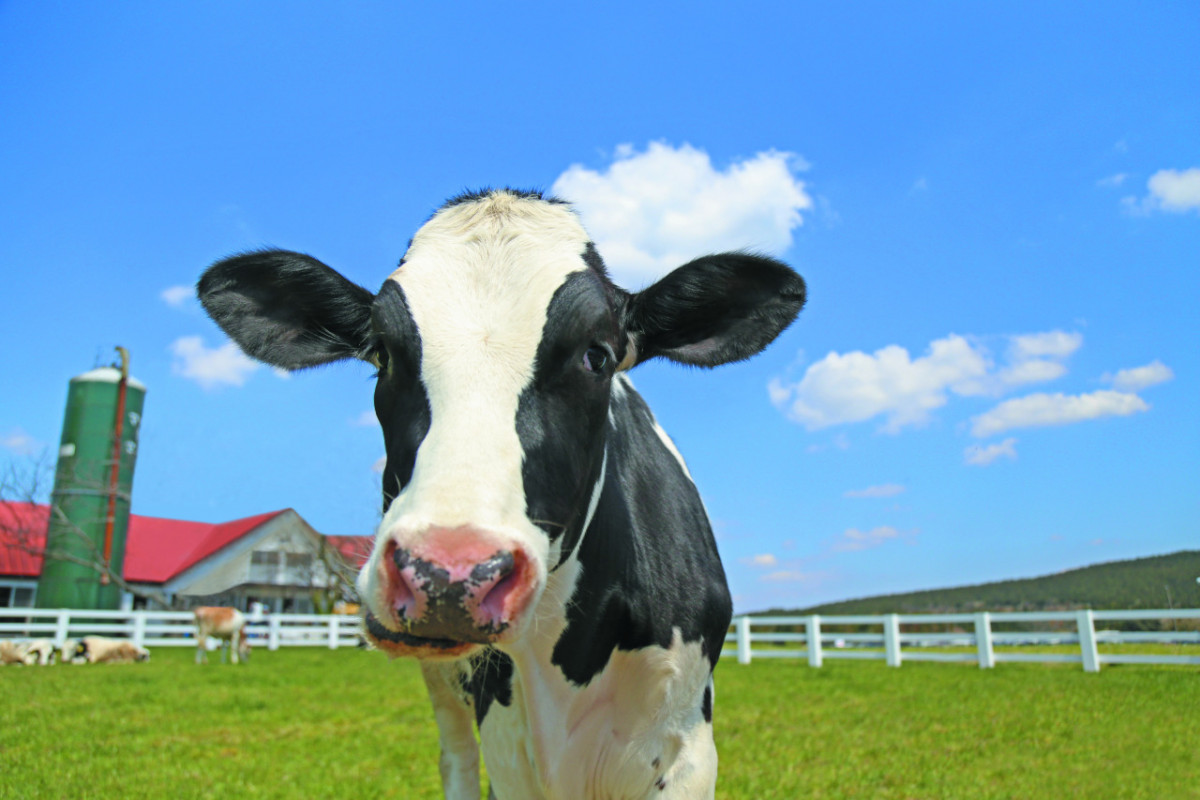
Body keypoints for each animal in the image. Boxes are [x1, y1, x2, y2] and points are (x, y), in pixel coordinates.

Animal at [199, 189, 806, 800]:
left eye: (597, 355)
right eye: (383, 353)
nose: (448, 573)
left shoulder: (686, 749)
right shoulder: (508, 744)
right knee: (457, 758)